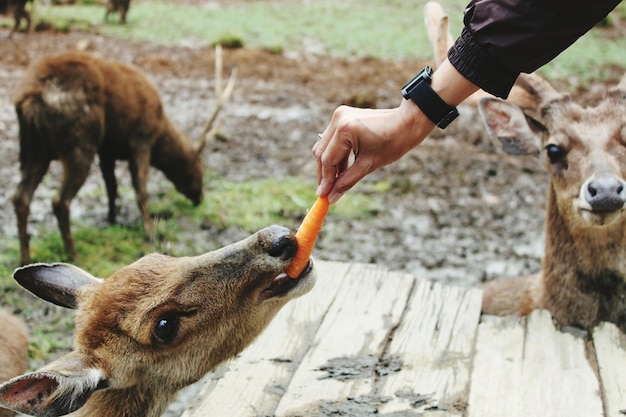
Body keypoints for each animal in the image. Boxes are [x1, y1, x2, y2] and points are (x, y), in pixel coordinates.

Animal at [12, 45, 236, 264]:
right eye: (199, 166)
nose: (199, 197)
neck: (159, 128)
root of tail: (28, 99)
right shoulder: (140, 140)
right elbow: (140, 189)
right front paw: (148, 231)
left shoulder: (107, 150)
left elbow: (112, 187)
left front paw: (112, 219)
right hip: (79, 143)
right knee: (59, 201)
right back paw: (73, 255)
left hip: (32, 148)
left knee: (20, 198)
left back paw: (25, 259)